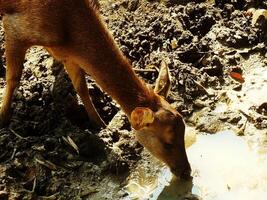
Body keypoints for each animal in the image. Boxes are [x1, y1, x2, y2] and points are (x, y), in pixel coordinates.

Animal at [0, 0, 193, 178]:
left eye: (184, 132)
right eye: (167, 143)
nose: (186, 171)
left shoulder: (69, 54)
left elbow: (81, 86)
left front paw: (100, 124)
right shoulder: (15, 28)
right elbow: (13, 78)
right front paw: (3, 118)